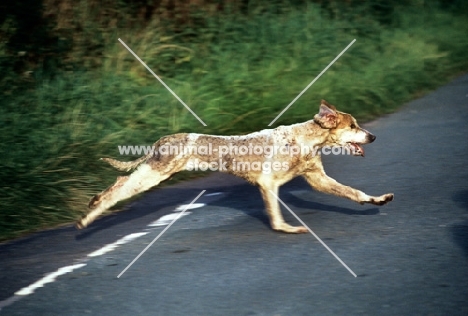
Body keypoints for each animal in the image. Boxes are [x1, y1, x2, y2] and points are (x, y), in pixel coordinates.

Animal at [77, 100, 394, 233]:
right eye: (353, 126)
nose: (373, 137)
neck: (306, 139)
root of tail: (163, 138)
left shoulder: (317, 180)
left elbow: (353, 192)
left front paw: (377, 199)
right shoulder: (268, 184)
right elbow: (276, 216)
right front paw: (285, 229)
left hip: (152, 172)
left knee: (120, 181)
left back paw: (93, 202)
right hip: (155, 173)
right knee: (119, 189)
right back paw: (88, 216)